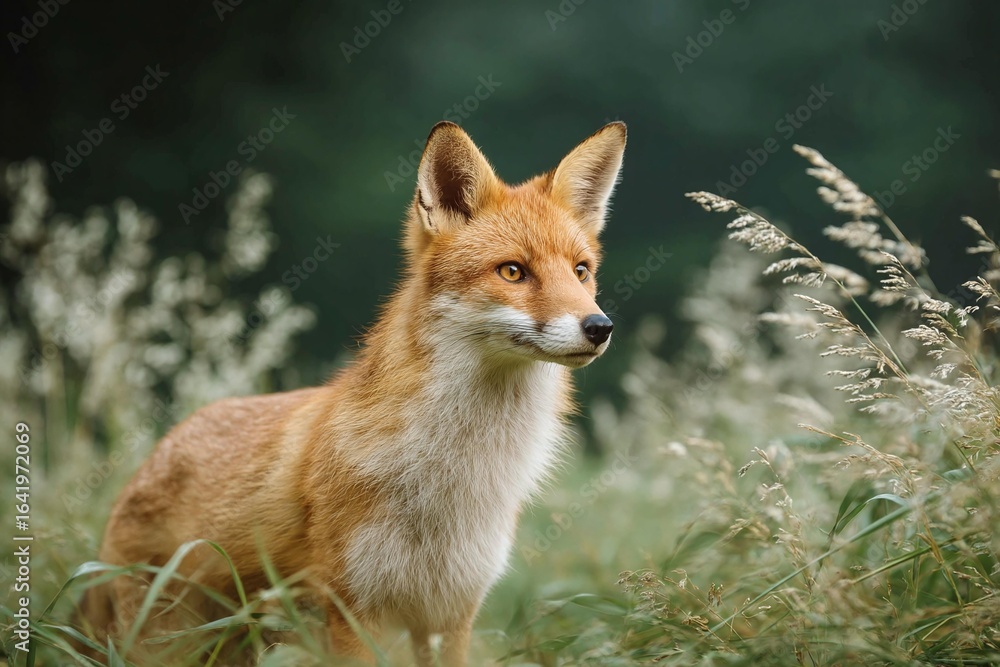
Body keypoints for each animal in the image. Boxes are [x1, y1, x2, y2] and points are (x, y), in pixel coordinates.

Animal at [80, 120, 627, 665]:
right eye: (513, 271)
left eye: (581, 271)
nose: (600, 327)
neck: (456, 473)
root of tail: (158, 451)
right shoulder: (352, 610)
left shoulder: (450, 613)